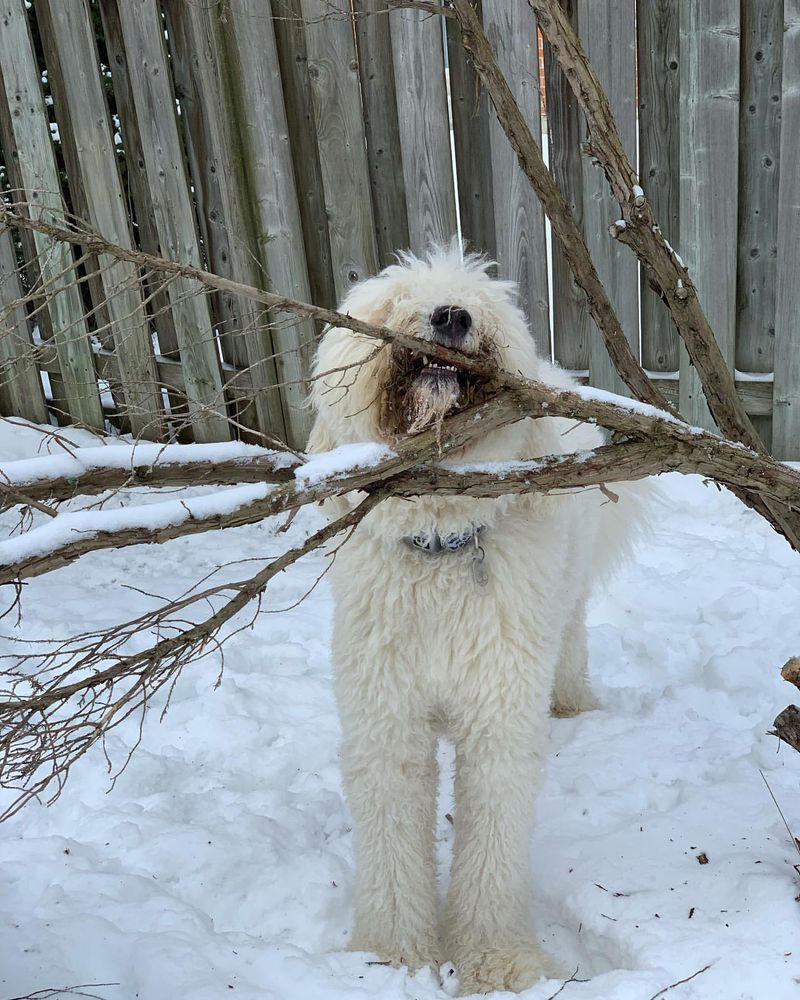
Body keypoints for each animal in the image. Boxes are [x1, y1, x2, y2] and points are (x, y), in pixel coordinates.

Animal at [308, 244, 644, 992]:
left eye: (485, 305)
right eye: (394, 298)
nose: (452, 317)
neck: (442, 546)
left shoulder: (498, 716)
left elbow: (493, 841)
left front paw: (500, 963)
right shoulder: (387, 720)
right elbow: (392, 835)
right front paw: (391, 958)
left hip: (564, 603)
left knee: (571, 640)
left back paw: (572, 704)